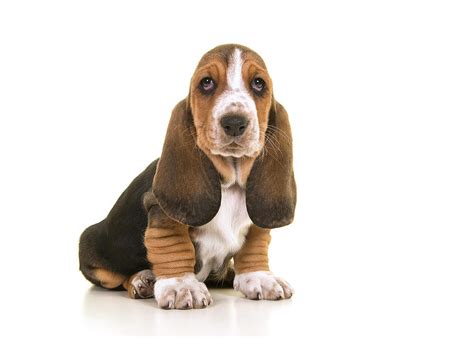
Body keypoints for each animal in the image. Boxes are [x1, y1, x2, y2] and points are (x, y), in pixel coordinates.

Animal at [80, 43, 298, 310]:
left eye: (259, 83)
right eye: (206, 83)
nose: (234, 123)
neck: (230, 184)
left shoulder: (256, 221)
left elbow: (254, 245)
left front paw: (260, 277)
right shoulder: (161, 214)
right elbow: (174, 245)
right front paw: (181, 285)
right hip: (95, 255)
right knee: (118, 279)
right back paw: (141, 280)